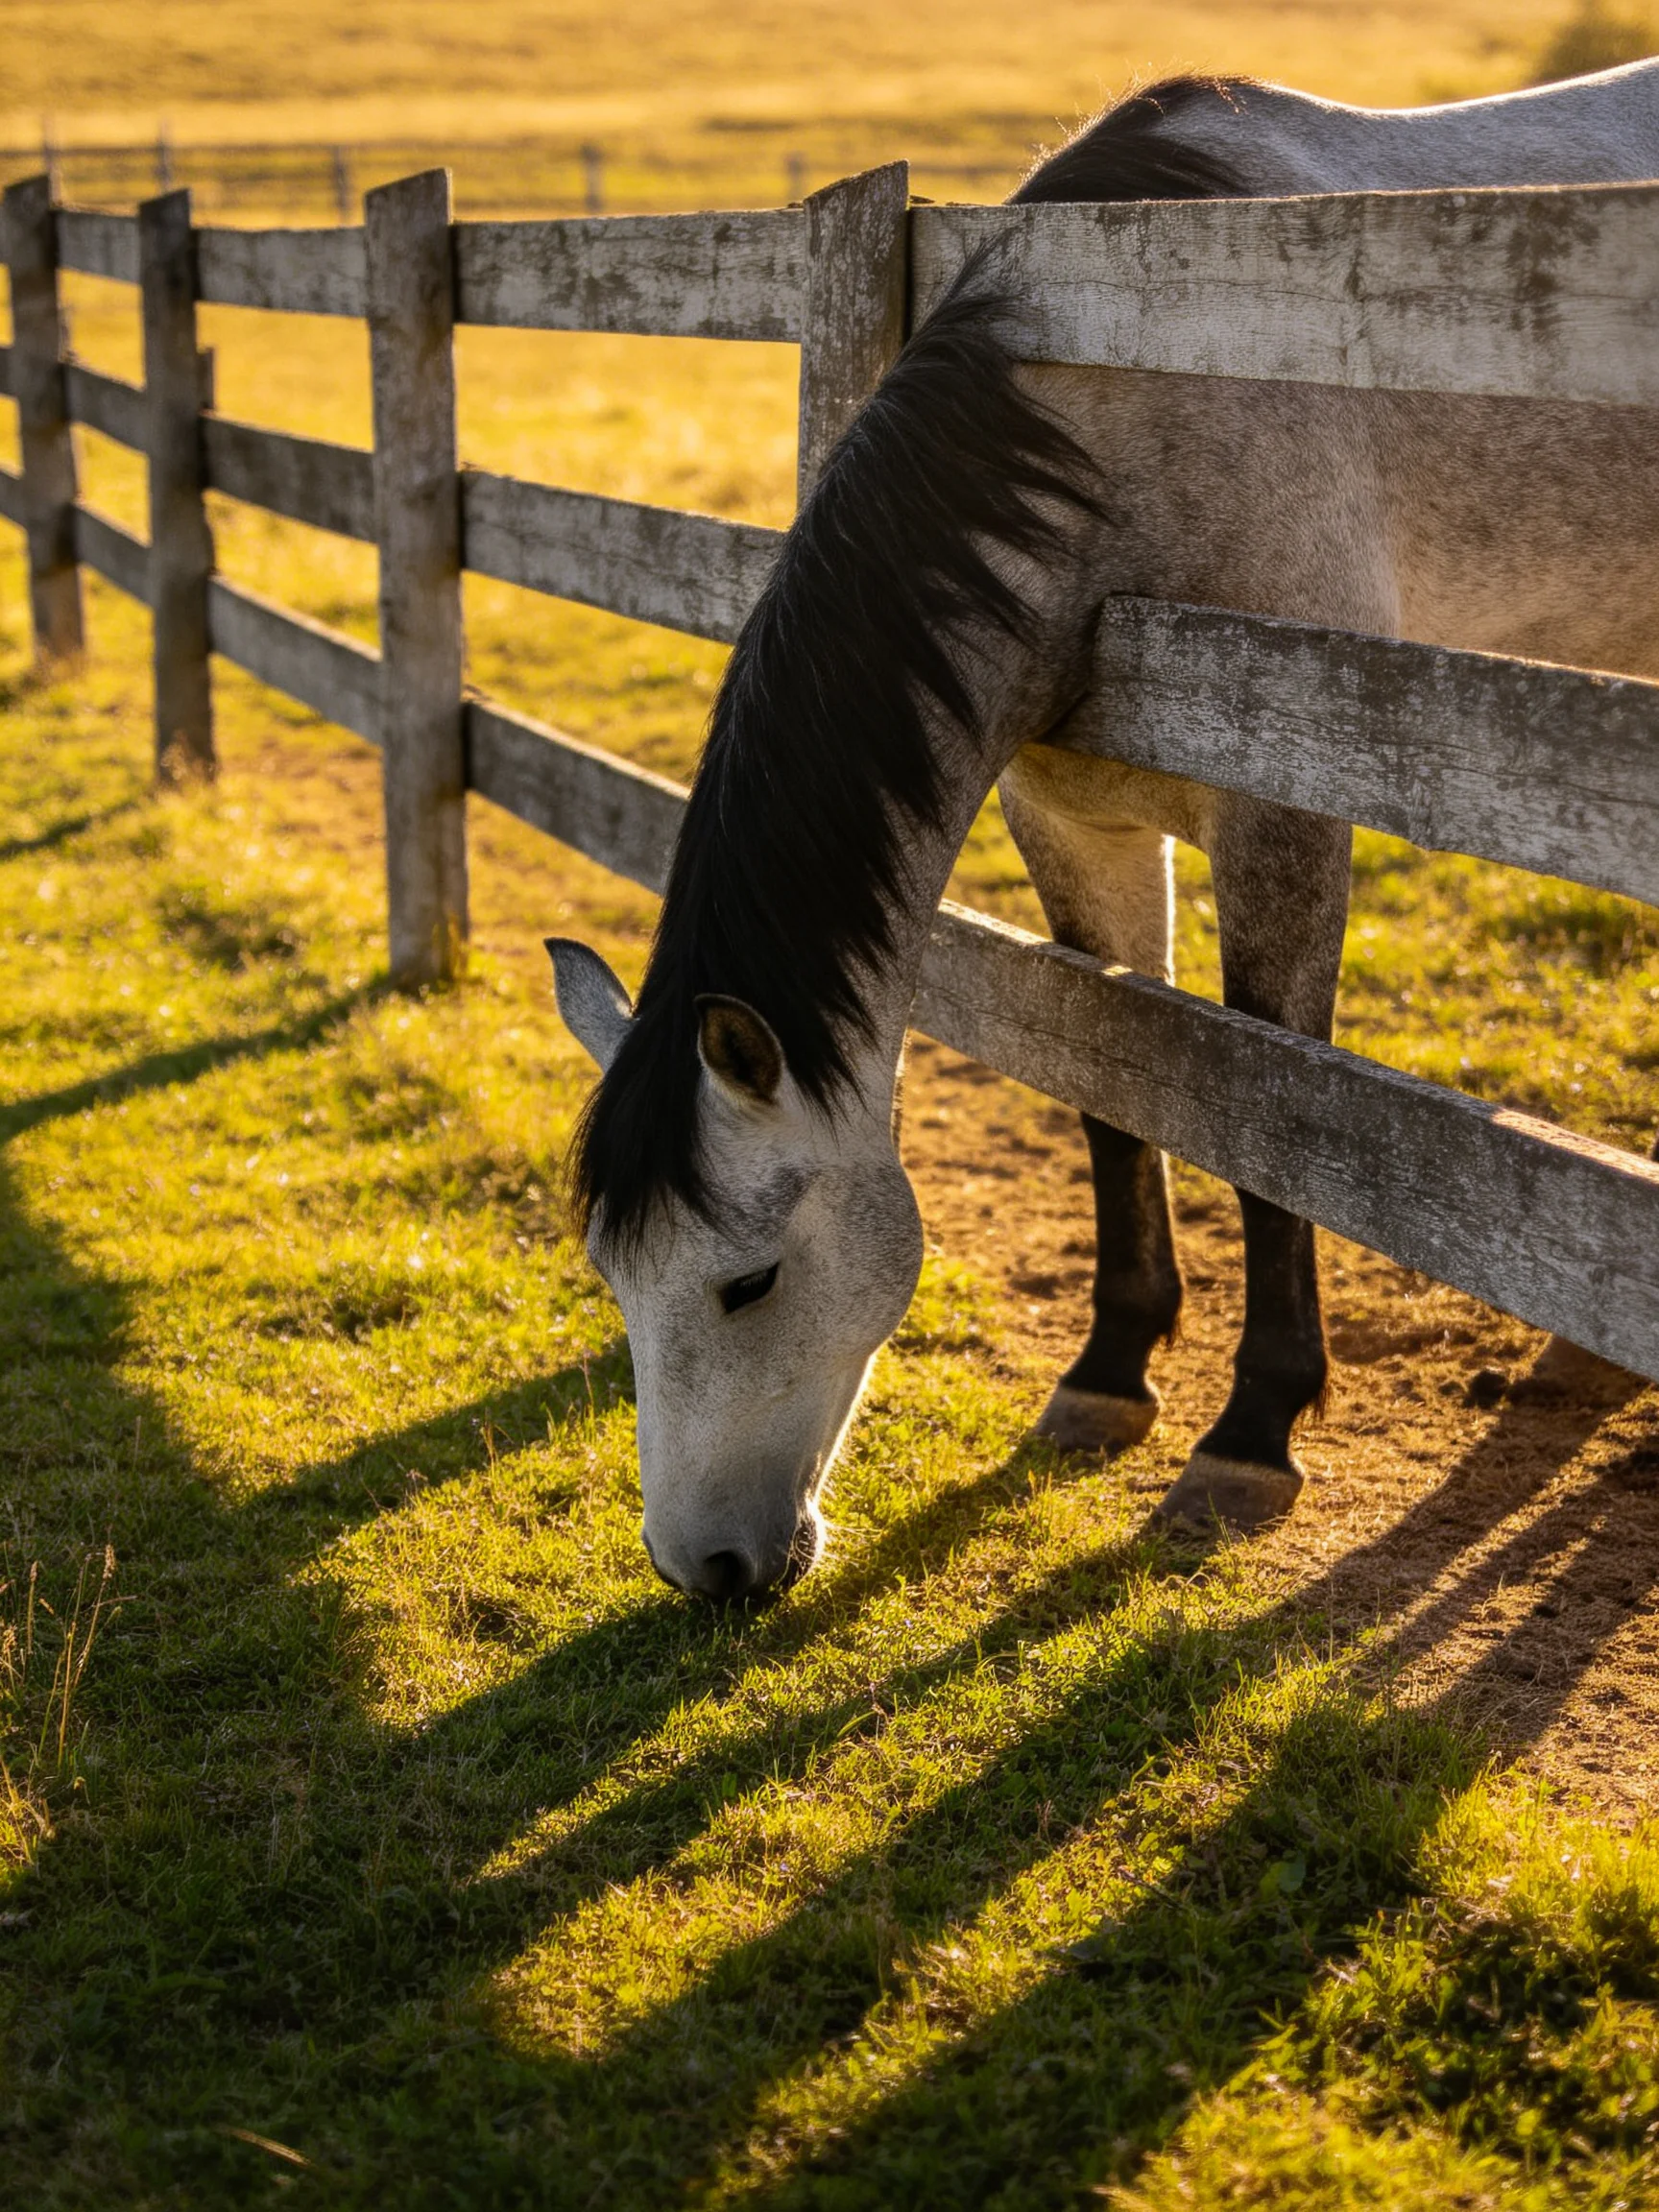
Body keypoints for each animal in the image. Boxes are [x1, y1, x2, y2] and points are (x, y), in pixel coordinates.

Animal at [547, 60, 1659, 1601]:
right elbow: (1113, 1095)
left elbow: (1272, 1113)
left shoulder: (1285, 809)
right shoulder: (1073, 823)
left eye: (748, 1280)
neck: (1119, 409)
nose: (704, 1570)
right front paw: (1108, 1374)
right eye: (610, 1274)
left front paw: (1249, 1441)